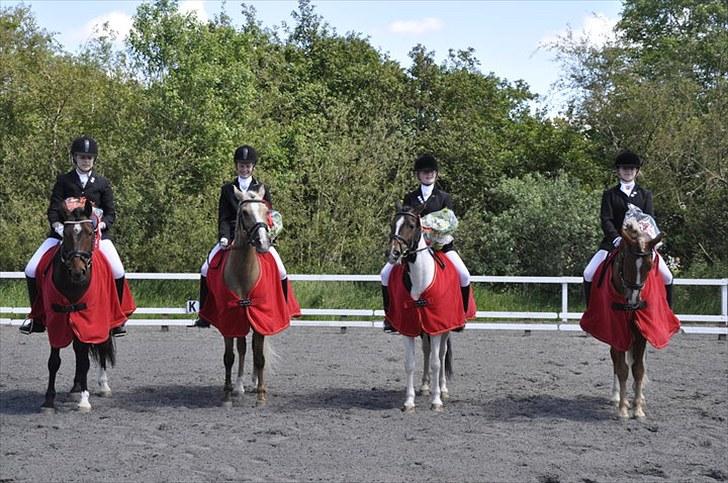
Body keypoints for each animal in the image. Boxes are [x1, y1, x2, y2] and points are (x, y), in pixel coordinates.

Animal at [41, 199, 116, 412]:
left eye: (90, 233)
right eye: (65, 234)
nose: (78, 272)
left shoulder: (90, 320)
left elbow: (84, 361)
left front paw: (84, 400)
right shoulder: (56, 320)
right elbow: (54, 361)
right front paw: (48, 401)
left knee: (100, 348)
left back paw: (102, 386)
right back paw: (75, 387)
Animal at [384, 204, 464, 412]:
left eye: (411, 225)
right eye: (392, 224)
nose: (394, 254)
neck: (420, 278)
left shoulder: (437, 325)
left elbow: (437, 362)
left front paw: (436, 401)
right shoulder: (408, 327)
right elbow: (410, 363)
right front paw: (409, 402)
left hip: (444, 329)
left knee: (441, 354)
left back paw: (442, 389)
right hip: (423, 328)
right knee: (427, 351)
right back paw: (425, 386)